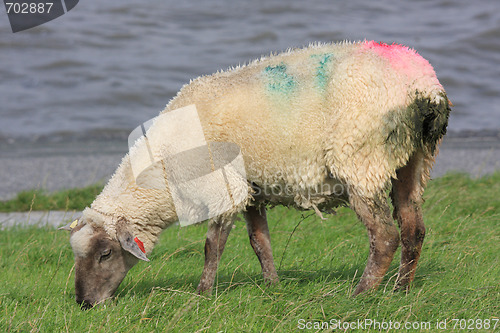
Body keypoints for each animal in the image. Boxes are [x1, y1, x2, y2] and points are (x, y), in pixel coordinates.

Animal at [60, 40, 452, 306]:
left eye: (105, 254)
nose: (84, 303)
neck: (164, 171)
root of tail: (424, 87)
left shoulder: (222, 186)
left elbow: (212, 246)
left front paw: (202, 293)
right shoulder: (251, 187)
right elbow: (259, 241)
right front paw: (273, 285)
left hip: (360, 159)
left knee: (385, 235)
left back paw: (360, 293)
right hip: (414, 160)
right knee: (414, 229)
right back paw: (400, 290)